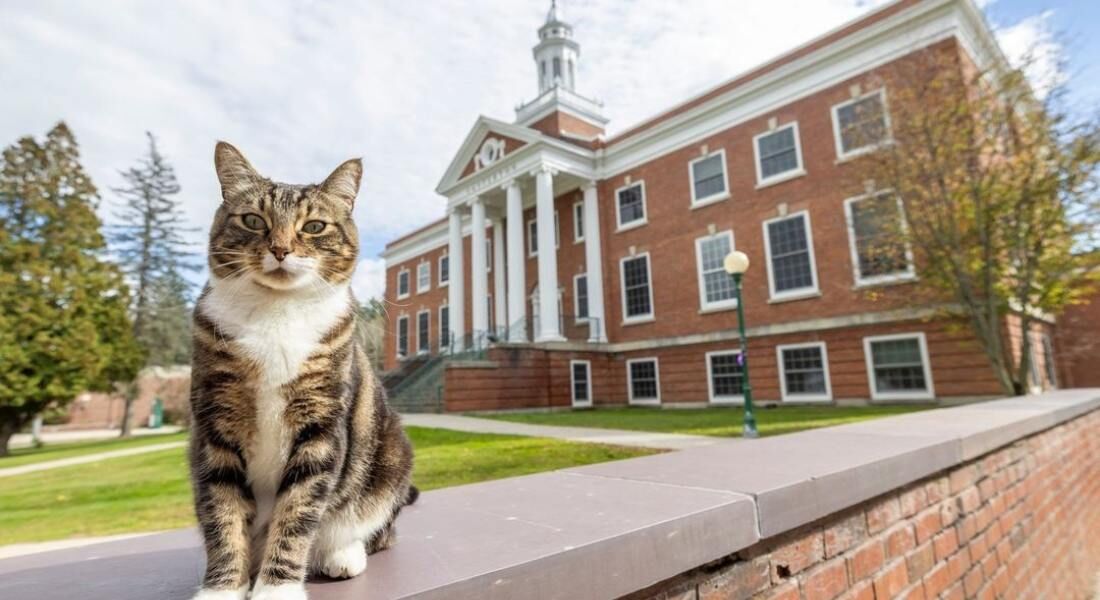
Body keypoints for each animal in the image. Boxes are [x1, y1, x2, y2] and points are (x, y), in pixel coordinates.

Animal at [189, 142, 415, 598]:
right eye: (253, 220)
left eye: (313, 226)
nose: (280, 249)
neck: (277, 313)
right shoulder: (214, 425)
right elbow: (222, 514)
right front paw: (222, 588)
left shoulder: (320, 426)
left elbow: (297, 511)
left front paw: (277, 588)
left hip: (391, 457)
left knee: (376, 528)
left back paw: (342, 554)